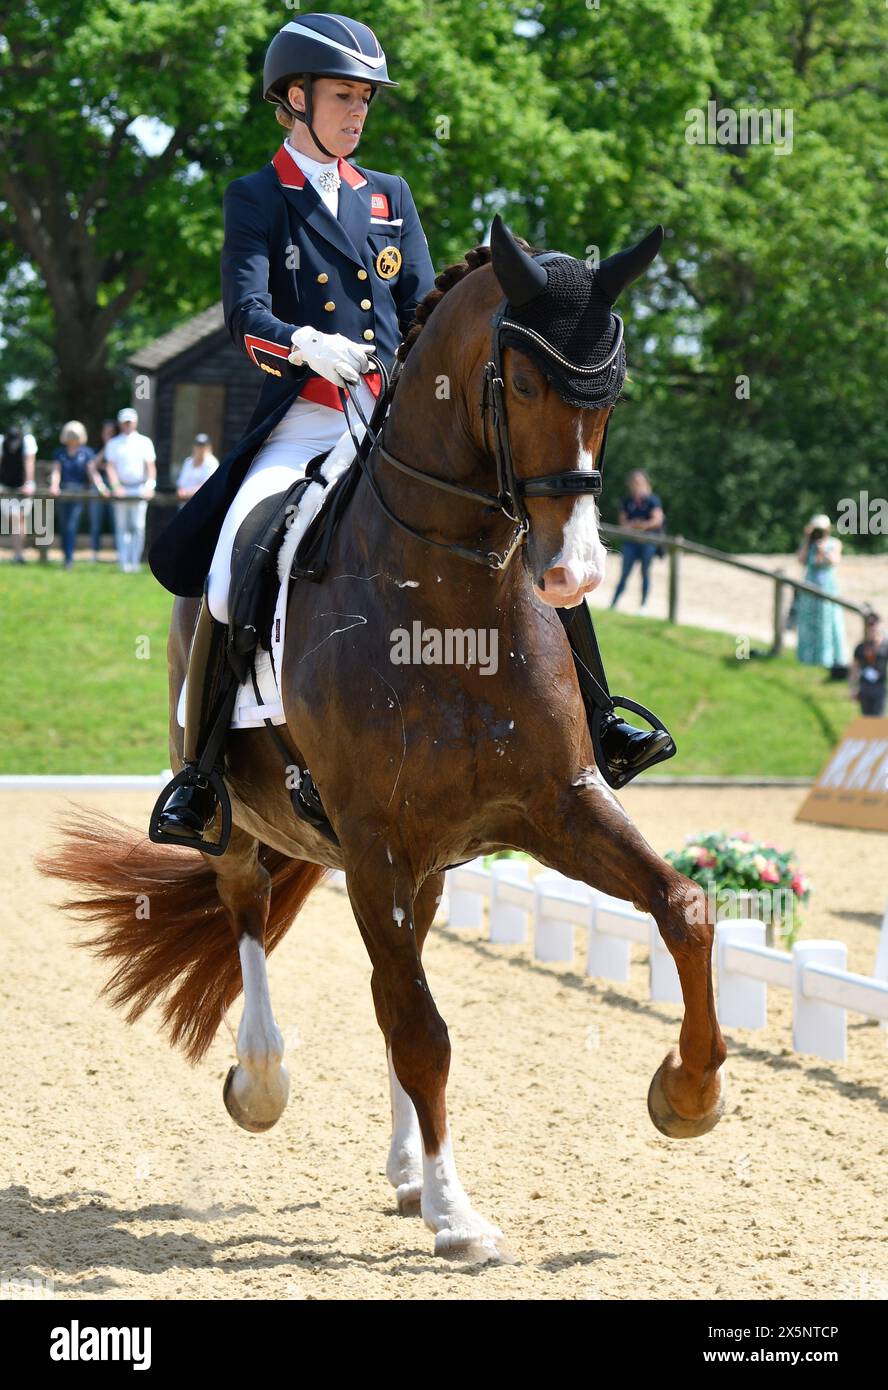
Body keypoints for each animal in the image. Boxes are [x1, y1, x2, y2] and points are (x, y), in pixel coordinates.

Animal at [38, 214, 728, 1262]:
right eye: (524, 384)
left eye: (612, 392)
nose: (571, 573)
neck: (453, 603)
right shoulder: (371, 840)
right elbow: (422, 1028)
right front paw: (458, 1217)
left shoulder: (559, 806)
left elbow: (682, 907)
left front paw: (688, 1095)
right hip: (243, 817)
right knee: (251, 915)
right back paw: (264, 1083)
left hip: (431, 865)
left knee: (382, 982)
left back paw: (406, 1167)